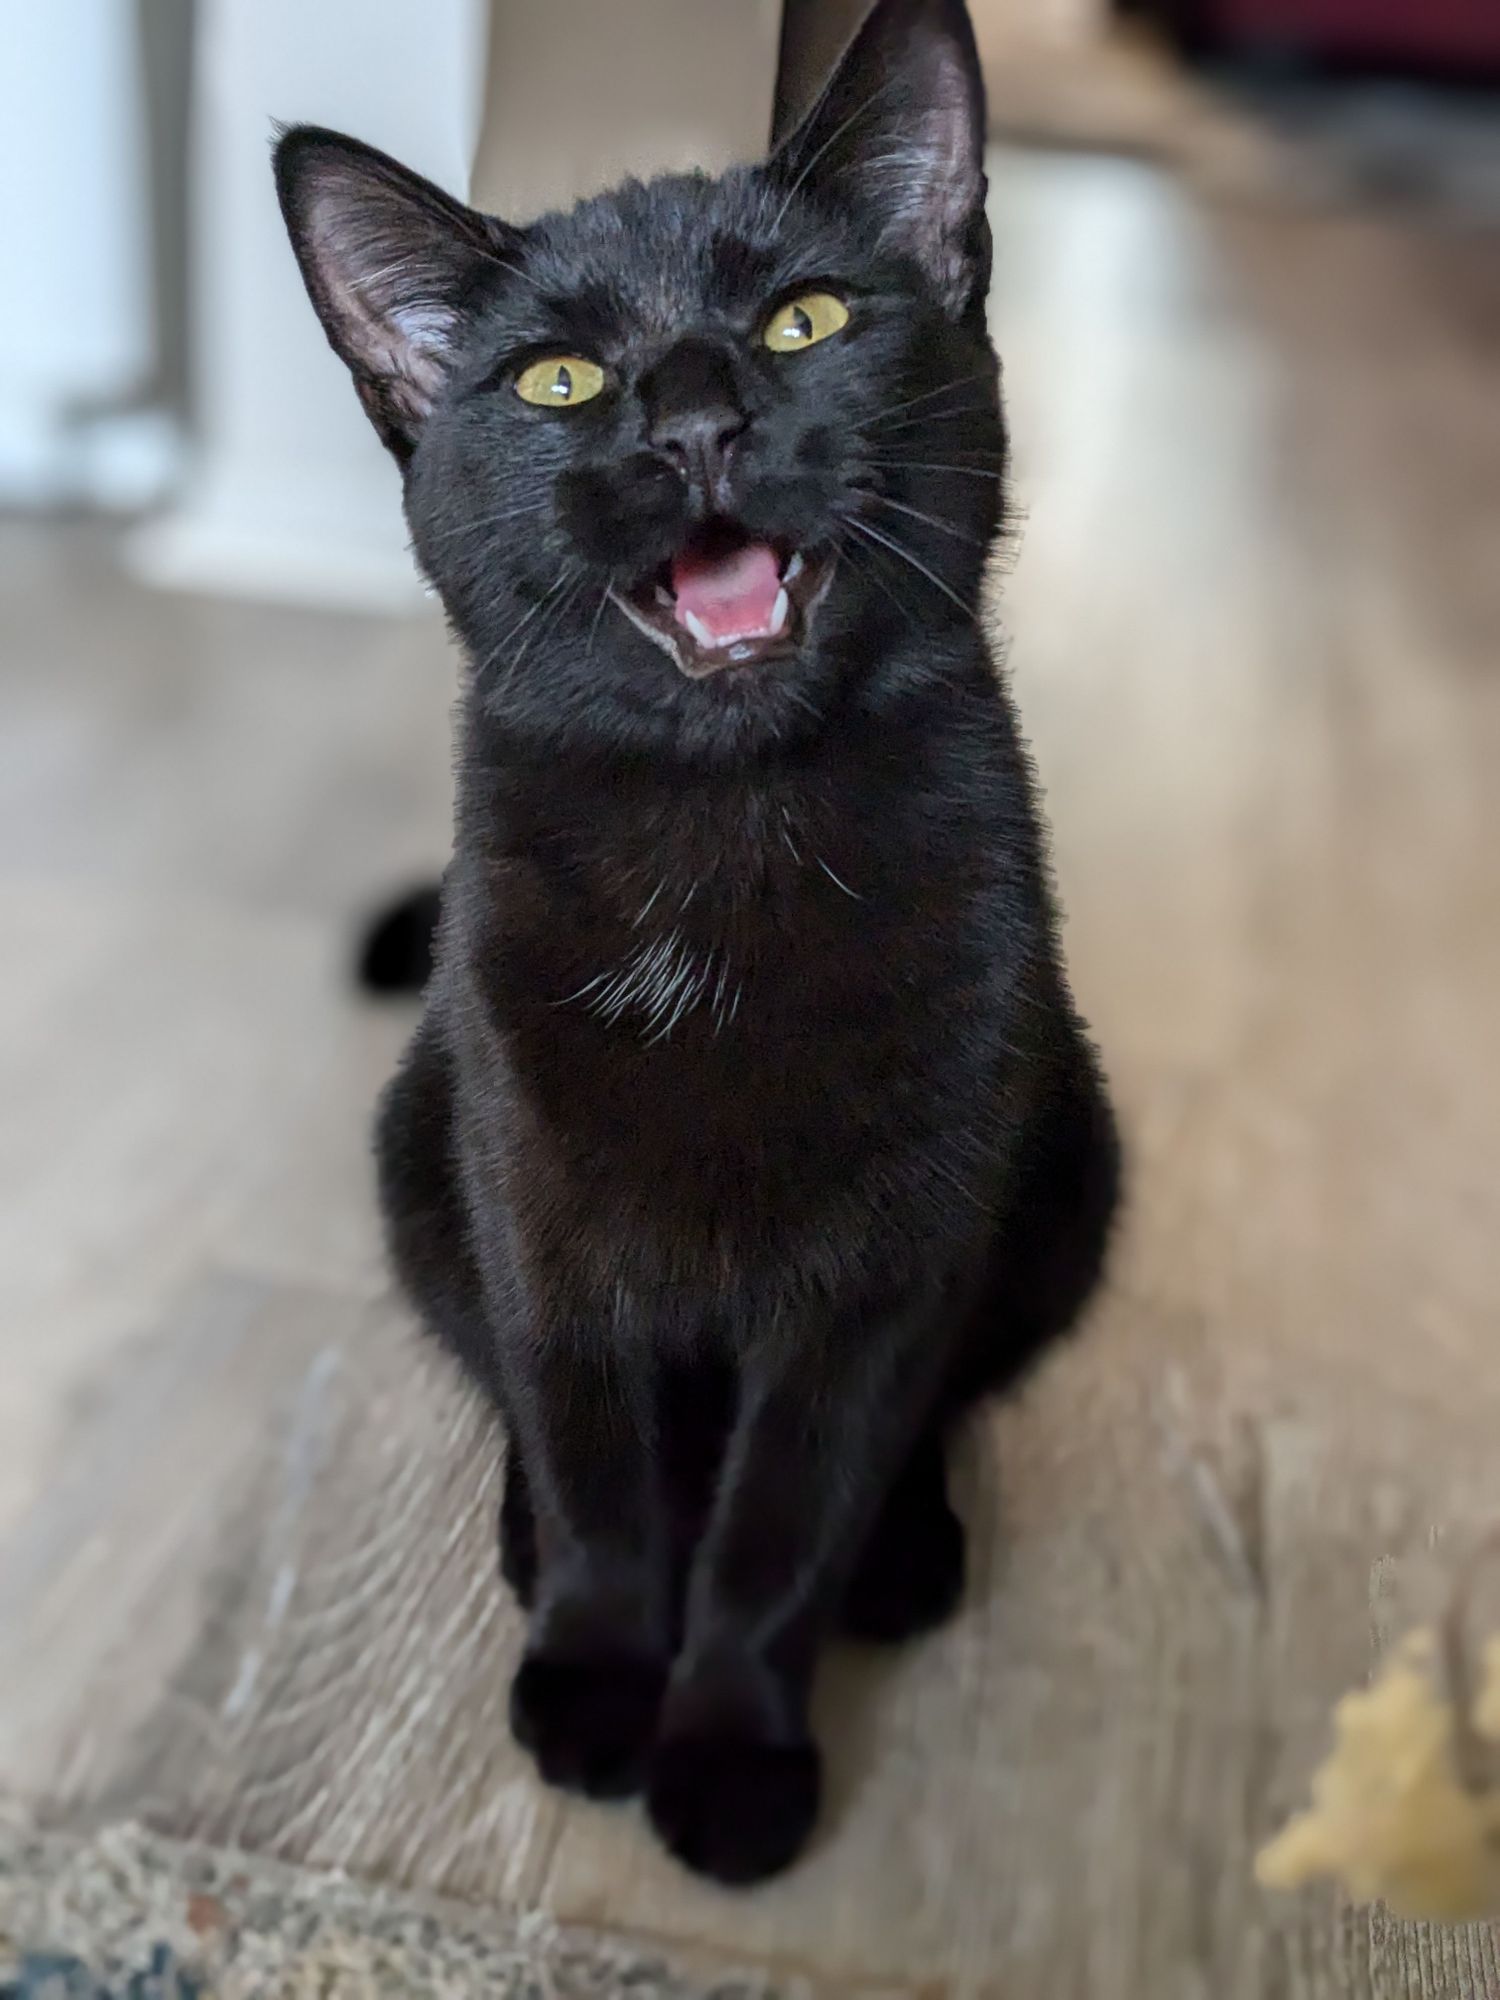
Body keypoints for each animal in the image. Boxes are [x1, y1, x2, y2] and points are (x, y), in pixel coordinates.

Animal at [274, 0, 1120, 1880]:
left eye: (805, 319)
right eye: (558, 382)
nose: (698, 422)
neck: (727, 844)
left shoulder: (887, 1262)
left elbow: (786, 1516)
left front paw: (732, 1749)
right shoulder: (541, 1203)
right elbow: (597, 1459)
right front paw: (594, 1668)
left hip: (1072, 1165)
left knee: (941, 1407)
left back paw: (910, 1554)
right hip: (416, 1139)